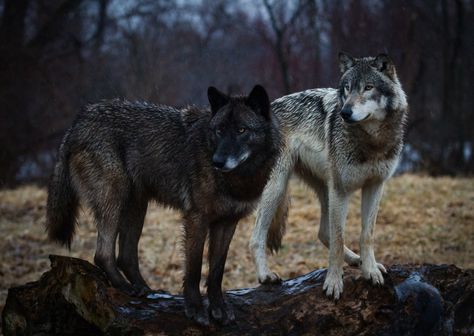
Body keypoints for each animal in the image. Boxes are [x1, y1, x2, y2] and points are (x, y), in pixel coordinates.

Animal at [45, 84, 280, 326]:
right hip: (115, 197)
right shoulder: (196, 218)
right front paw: (195, 309)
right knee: (103, 253)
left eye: (242, 130)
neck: (239, 178)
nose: (217, 161)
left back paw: (146, 290)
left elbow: (216, 271)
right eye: (219, 131)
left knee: (125, 256)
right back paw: (125, 288)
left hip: (136, 206)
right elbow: (194, 268)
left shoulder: (227, 223)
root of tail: (79, 120)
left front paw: (219, 309)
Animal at [250, 52, 410, 300]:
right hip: (278, 187)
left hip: (323, 187)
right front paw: (334, 282)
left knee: (322, 232)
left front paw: (371, 270)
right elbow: (338, 238)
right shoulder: (341, 190)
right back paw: (265, 276)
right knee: (257, 236)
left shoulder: (375, 185)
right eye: (347, 88)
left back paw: (356, 260)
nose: (345, 112)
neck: (371, 141)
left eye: (368, 87)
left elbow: (366, 234)